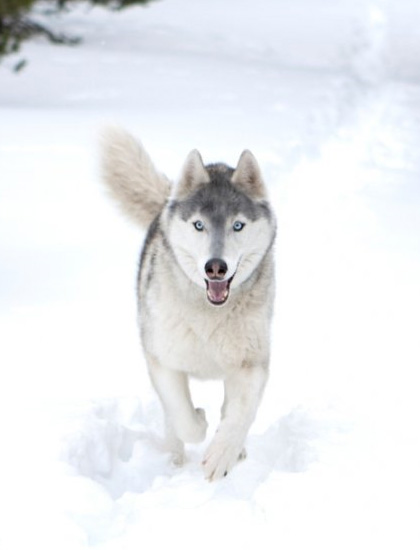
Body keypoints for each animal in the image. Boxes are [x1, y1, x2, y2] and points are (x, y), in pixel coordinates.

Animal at [101, 128, 278, 478]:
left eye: (238, 225)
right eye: (199, 225)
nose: (216, 267)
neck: (209, 314)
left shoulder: (251, 363)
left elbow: (239, 415)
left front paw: (223, 454)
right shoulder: (163, 360)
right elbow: (184, 419)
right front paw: (199, 419)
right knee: (174, 422)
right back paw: (174, 459)